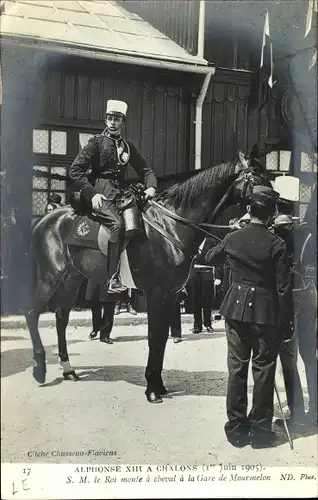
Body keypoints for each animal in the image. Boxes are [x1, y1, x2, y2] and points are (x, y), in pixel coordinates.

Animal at [26, 151, 272, 402]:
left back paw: (68, 369)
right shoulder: (156, 294)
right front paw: (152, 389)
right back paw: (40, 369)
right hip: (50, 277)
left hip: (71, 278)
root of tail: (45, 220)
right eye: (257, 177)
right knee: (32, 313)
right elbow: (154, 338)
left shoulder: (171, 296)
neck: (171, 226)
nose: (273, 210)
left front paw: (158, 384)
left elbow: (162, 339)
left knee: (60, 318)